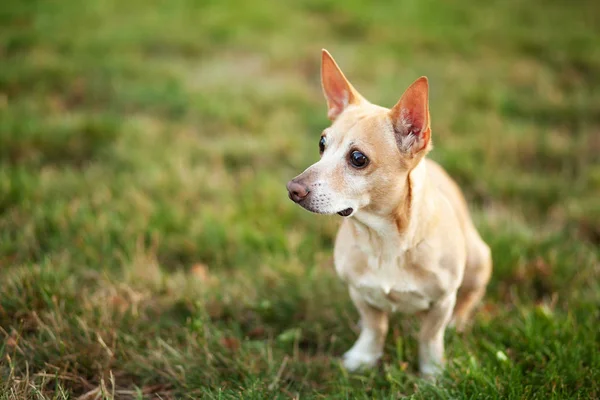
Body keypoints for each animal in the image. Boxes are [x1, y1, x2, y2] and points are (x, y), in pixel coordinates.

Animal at [286, 50, 492, 378]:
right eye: (322, 143)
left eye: (358, 158)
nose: (293, 189)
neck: (384, 241)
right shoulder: (359, 292)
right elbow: (375, 327)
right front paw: (364, 357)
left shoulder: (442, 301)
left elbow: (430, 337)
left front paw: (432, 373)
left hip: (479, 260)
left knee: (470, 297)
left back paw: (458, 323)